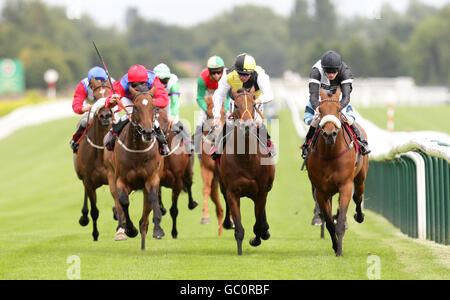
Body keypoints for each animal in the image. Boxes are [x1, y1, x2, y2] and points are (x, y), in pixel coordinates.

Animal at [103, 87, 163, 251]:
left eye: (154, 107)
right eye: (135, 107)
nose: (148, 132)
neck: (137, 151)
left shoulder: (152, 178)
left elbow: (153, 198)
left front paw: (158, 230)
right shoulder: (121, 181)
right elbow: (124, 201)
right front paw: (130, 229)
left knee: (146, 213)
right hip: (111, 177)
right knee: (118, 202)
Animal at [158, 110, 197, 239]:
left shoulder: (177, 183)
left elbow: (174, 210)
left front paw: (174, 232)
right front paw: (162, 210)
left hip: (188, 171)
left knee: (189, 184)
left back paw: (192, 203)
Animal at [217, 88, 276, 254]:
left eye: (253, 104)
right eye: (236, 105)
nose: (248, 125)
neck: (246, 159)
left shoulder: (261, 191)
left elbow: (258, 224)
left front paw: (257, 238)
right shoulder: (232, 192)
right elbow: (239, 228)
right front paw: (240, 250)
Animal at [306, 87, 370, 255]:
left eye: (338, 109)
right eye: (320, 110)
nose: (330, 134)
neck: (330, 154)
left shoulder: (345, 186)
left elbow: (340, 221)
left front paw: (339, 250)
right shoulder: (321, 191)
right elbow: (329, 223)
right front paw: (335, 246)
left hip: (360, 178)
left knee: (358, 196)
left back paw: (359, 215)